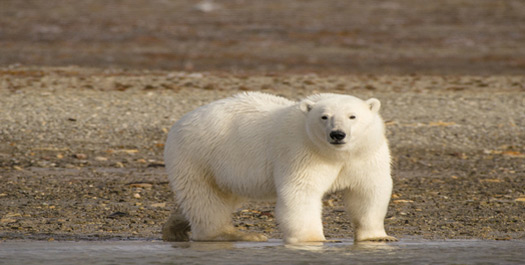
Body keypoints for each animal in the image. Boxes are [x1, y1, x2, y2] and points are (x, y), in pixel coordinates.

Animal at [162, 92, 396, 242]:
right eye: (324, 117)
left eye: (352, 116)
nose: (337, 134)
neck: (335, 154)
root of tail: (179, 122)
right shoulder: (302, 152)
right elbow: (301, 191)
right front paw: (313, 239)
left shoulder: (365, 155)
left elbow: (367, 191)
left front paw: (378, 237)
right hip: (197, 155)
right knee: (205, 199)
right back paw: (235, 234)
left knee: (218, 197)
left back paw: (175, 226)